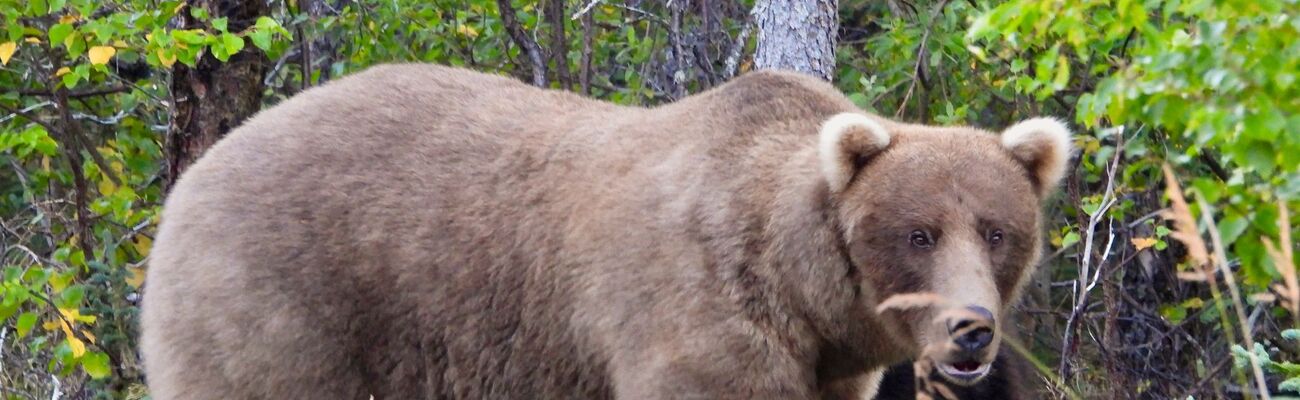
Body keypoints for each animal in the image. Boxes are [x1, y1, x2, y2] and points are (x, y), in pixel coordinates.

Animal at [139, 63, 1066, 397]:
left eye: (996, 232)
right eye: (917, 233)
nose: (972, 331)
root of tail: (196, 171)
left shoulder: (829, 370)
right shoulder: (694, 314)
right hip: (286, 306)